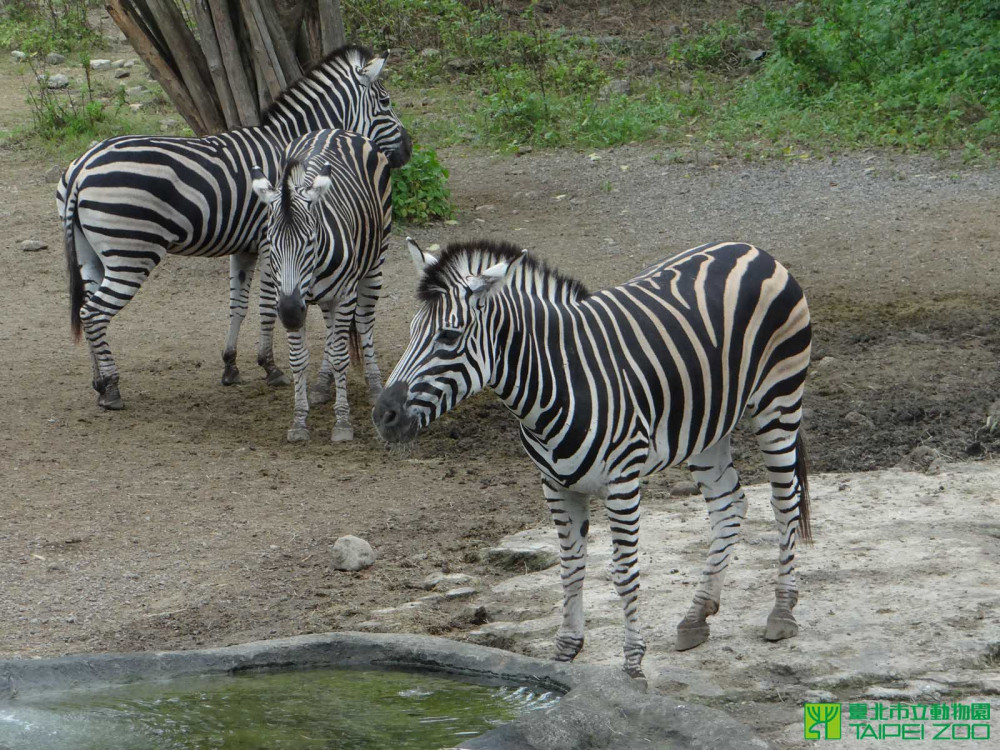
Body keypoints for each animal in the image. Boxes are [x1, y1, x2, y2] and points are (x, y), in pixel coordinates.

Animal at [57, 45, 410, 412]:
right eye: (385, 102)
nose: (408, 150)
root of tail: (82, 167)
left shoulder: (246, 247)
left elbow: (237, 304)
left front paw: (231, 365)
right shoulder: (270, 244)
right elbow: (267, 305)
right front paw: (270, 367)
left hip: (91, 254)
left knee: (85, 308)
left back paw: (98, 382)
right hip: (130, 253)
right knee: (94, 312)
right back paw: (111, 387)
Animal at [249, 130, 390, 444]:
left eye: (310, 242)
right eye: (271, 244)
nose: (290, 314)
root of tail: (335, 131)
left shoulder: (345, 295)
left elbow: (340, 356)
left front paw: (343, 423)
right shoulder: (285, 297)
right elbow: (298, 359)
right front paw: (299, 421)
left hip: (375, 264)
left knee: (365, 324)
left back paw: (375, 386)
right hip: (325, 300)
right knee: (330, 331)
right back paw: (323, 385)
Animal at [376, 238, 812, 680]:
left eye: (448, 336)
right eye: (412, 331)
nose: (383, 415)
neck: (559, 380)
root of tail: (749, 248)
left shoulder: (622, 481)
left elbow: (624, 572)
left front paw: (633, 663)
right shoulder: (555, 485)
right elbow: (570, 567)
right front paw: (564, 653)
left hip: (778, 401)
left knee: (785, 501)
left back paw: (781, 612)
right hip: (707, 426)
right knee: (729, 504)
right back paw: (696, 616)